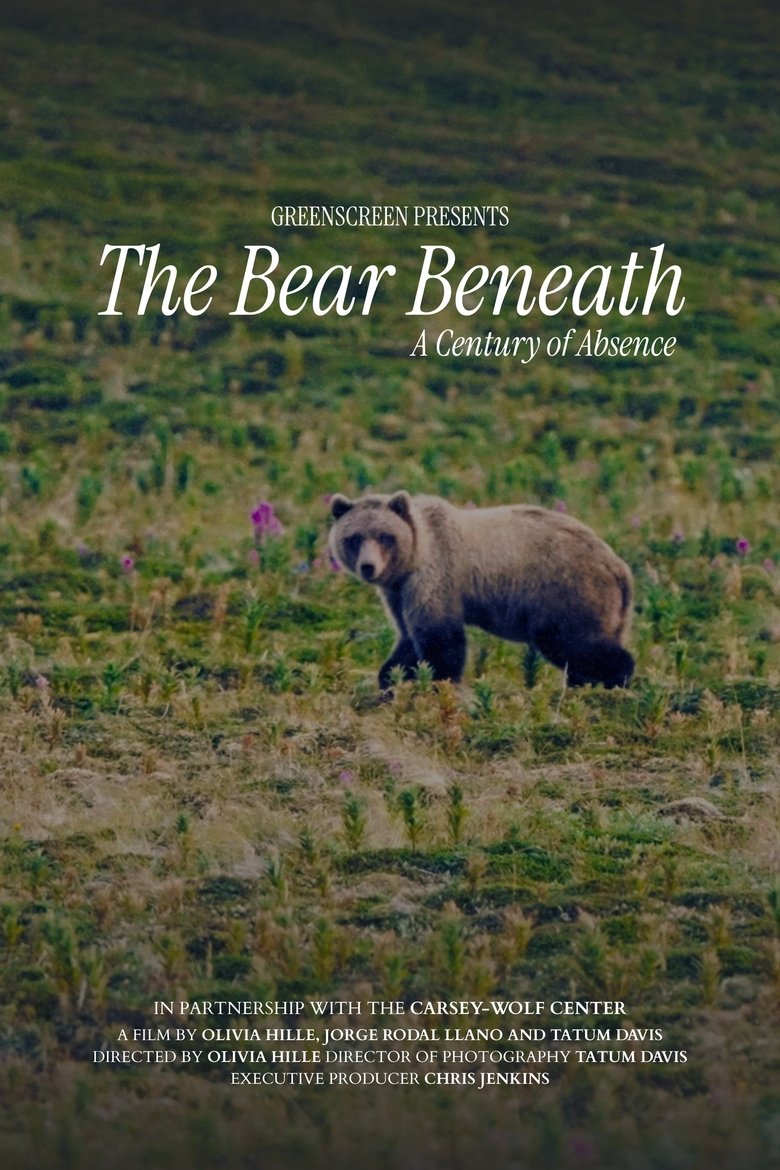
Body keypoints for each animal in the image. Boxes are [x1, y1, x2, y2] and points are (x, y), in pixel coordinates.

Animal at [329, 491, 634, 691]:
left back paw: (615, 678)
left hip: (566, 590)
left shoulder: (435, 577)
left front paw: (439, 681)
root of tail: (619, 568)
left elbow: (440, 638)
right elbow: (408, 636)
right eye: (354, 538)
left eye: (384, 536)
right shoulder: (398, 592)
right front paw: (390, 675)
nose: (368, 566)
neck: (414, 557)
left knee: (571, 641)